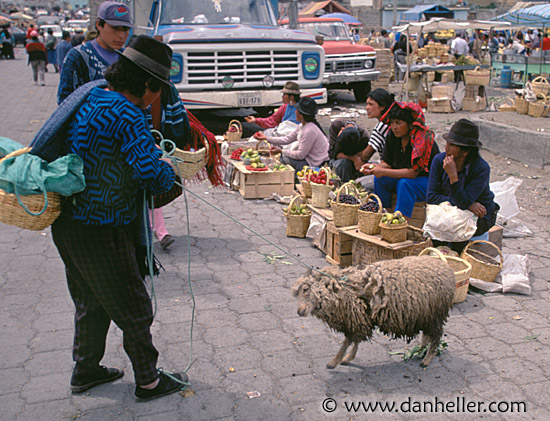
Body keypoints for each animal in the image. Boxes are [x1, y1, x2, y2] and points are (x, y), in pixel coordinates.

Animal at [294, 253, 458, 368]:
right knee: (427, 334)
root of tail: (447, 268)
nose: (299, 311)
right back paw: (420, 350)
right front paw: (347, 358)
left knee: (436, 335)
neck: (346, 289)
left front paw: (335, 361)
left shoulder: (357, 319)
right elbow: (355, 341)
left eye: (306, 289)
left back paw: (427, 358)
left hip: (436, 313)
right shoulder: (360, 319)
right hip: (425, 314)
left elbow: (348, 341)